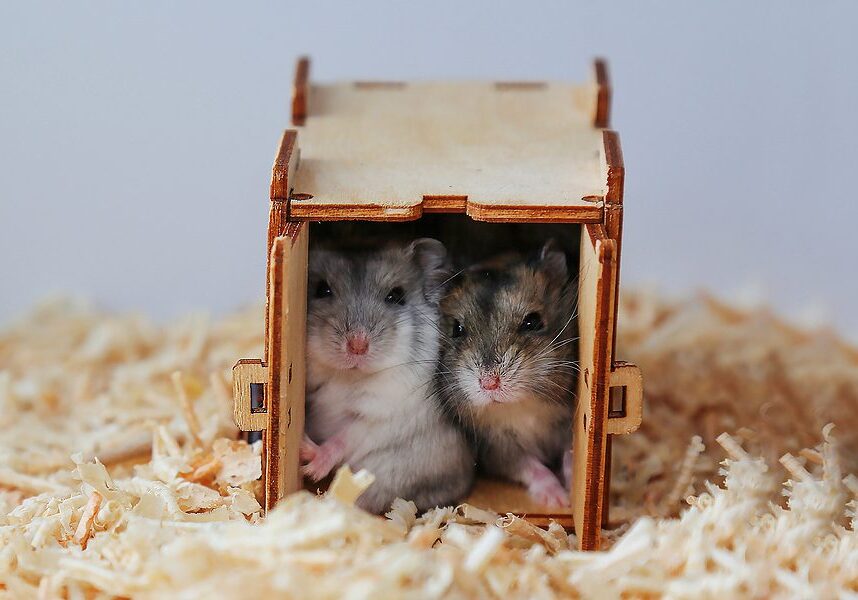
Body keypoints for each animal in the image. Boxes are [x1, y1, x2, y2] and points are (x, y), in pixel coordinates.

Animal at [301, 237, 475, 513]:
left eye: (396, 296)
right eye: (322, 290)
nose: (358, 346)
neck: (347, 377)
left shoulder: (379, 417)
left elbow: (344, 438)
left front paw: (310, 463)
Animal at [437, 241, 578, 507]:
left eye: (533, 321)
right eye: (457, 329)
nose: (489, 383)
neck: (521, 406)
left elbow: (570, 452)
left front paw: (572, 490)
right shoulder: (498, 448)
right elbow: (531, 467)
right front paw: (558, 500)